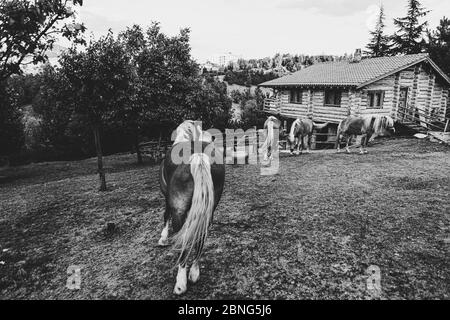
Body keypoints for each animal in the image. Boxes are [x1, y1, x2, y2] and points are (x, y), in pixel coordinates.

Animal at [160, 119, 227, 296]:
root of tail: (198, 155)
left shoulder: (167, 199)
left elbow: (165, 215)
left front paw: (163, 238)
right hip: (208, 210)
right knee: (200, 237)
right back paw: (194, 272)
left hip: (179, 210)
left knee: (184, 241)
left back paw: (180, 283)